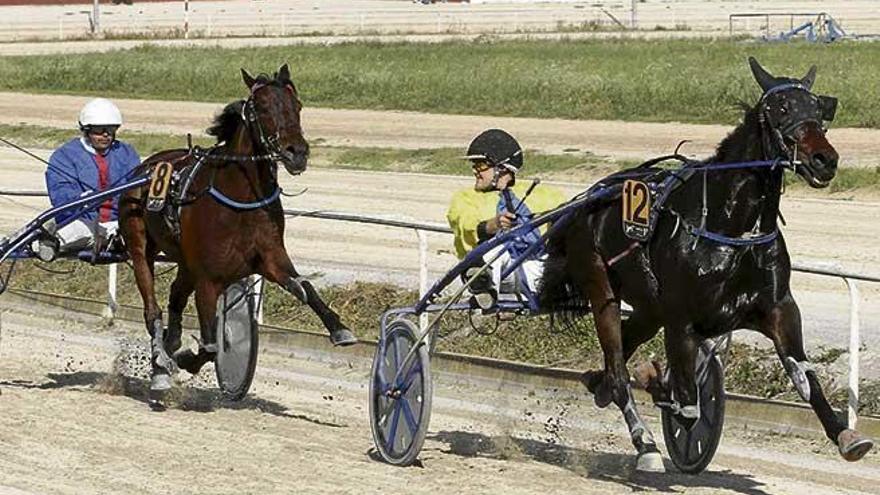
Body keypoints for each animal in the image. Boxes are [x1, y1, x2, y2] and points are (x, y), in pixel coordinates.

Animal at [118, 65, 356, 400]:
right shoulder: (208, 279)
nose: (297, 152)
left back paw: (170, 344)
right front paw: (185, 359)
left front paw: (339, 328)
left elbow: (304, 286)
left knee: (176, 296)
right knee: (152, 308)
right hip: (140, 245)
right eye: (264, 107)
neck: (240, 201)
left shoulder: (270, 257)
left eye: (297, 106)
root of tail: (146, 167)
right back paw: (160, 365)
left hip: (185, 261)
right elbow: (209, 345)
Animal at [540, 58, 868, 472]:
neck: (731, 229)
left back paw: (597, 385)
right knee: (617, 371)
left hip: (649, 310)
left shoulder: (778, 309)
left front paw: (847, 436)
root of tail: (588, 201)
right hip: (601, 286)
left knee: (619, 358)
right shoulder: (682, 319)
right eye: (779, 109)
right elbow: (689, 404)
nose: (824, 159)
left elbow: (805, 378)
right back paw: (645, 443)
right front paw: (657, 383)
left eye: (819, 108)